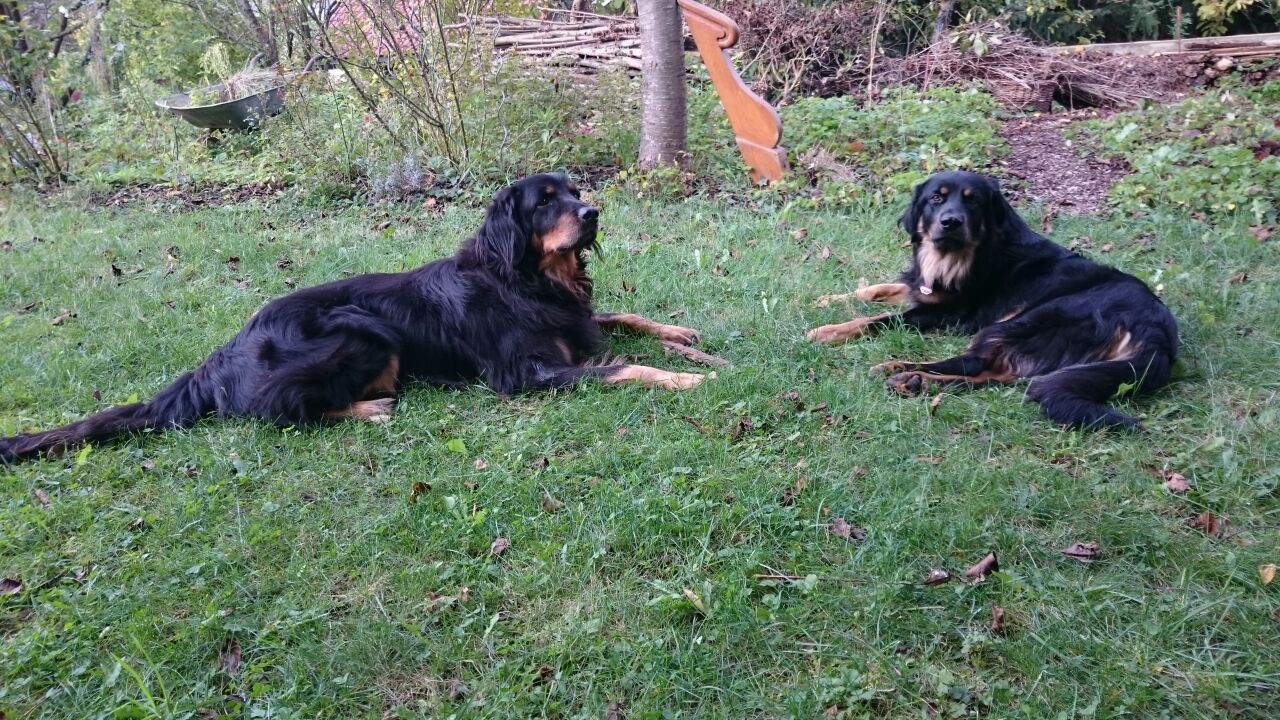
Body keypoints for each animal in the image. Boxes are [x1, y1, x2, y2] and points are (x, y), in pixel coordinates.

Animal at [2, 172, 701, 458]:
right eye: (545, 200)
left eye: (577, 191)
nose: (592, 214)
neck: (526, 279)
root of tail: (222, 355)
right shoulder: (523, 374)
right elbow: (623, 367)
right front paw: (687, 377)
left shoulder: (575, 322)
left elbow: (623, 320)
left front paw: (687, 340)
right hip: (363, 333)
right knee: (274, 409)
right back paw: (371, 407)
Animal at [808, 169, 1177, 425]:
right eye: (936, 198)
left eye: (972, 200)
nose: (951, 222)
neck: (954, 257)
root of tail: (1156, 331)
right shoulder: (922, 288)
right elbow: (875, 289)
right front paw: (826, 300)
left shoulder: (944, 312)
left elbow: (879, 319)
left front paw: (829, 330)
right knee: (994, 376)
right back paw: (916, 382)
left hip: (1028, 319)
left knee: (974, 362)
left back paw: (899, 368)